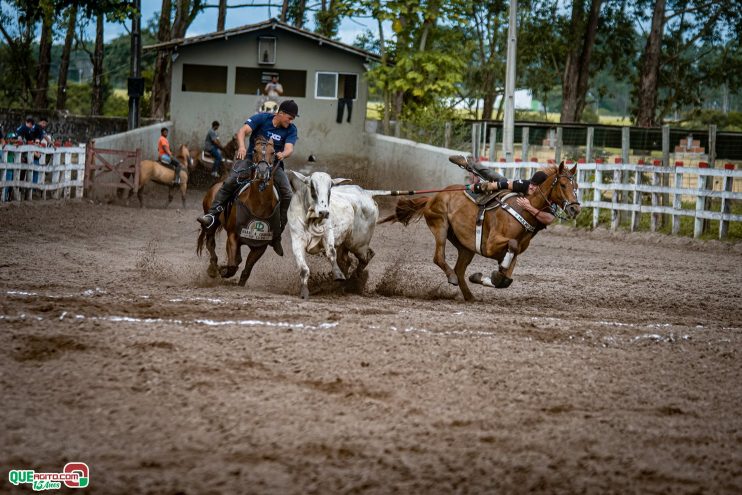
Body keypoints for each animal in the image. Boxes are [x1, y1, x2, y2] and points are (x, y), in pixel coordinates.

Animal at [196, 136, 278, 286]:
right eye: (255, 150)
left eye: (273, 152)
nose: (262, 172)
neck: (258, 205)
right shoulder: (233, 236)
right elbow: (233, 264)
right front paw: (223, 270)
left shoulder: (261, 244)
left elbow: (246, 267)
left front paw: (240, 282)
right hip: (212, 224)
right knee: (210, 243)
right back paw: (213, 269)